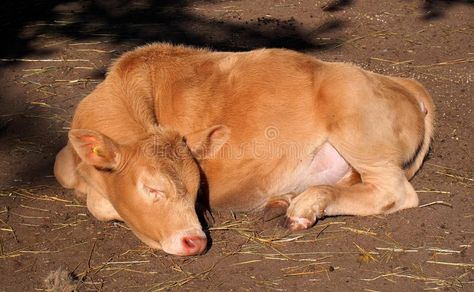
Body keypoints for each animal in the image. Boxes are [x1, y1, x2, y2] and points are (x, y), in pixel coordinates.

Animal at [54, 43, 434, 256]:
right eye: (152, 188)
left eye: (196, 190)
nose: (196, 241)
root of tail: (399, 81)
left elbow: (99, 205)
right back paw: (289, 200)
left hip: (354, 120)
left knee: (394, 191)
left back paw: (306, 205)